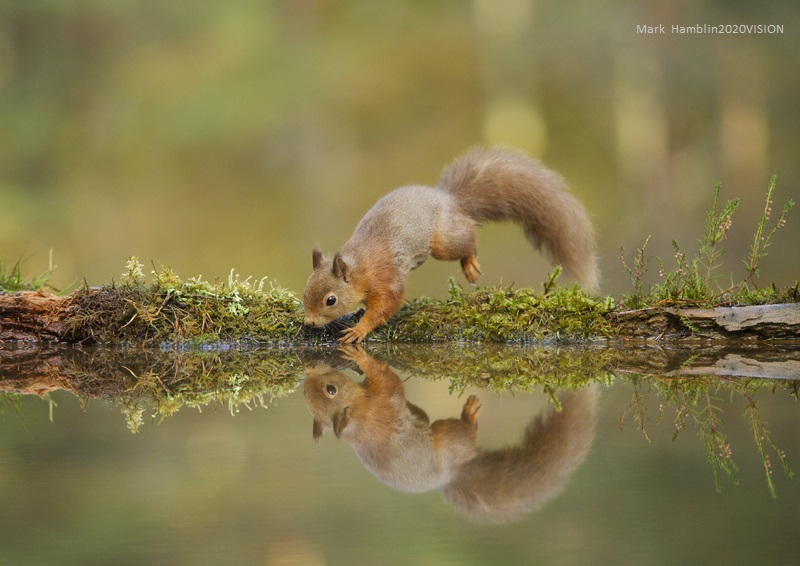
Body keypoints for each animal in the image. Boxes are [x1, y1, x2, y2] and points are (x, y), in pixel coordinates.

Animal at [304, 148, 596, 342]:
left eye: (331, 300)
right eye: (305, 290)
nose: (308, 322)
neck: (360, 266)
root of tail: (448, 199)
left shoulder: (386, 278)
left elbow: (387, 304)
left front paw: (359, 329)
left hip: (444, 242)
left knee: (469, 234)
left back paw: (470, 262)